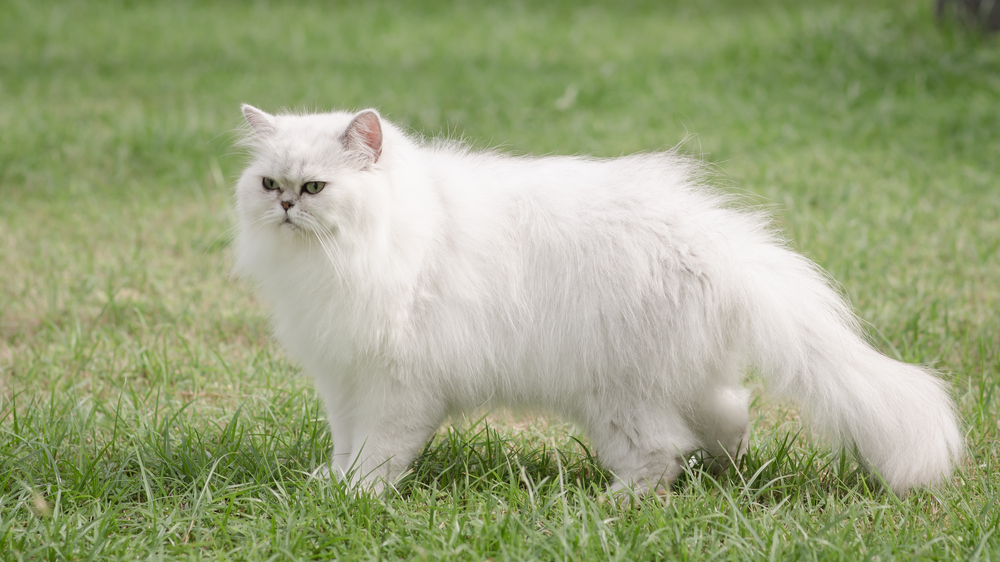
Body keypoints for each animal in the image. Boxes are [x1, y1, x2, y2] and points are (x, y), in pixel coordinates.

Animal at [232, 105, 960, 494]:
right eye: (269, 183)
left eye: (317, 188)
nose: (287, 205)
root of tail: (718, 244)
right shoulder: (344, 381)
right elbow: (344, 446)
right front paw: (331, 487)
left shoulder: (395, 388)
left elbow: (377, 454)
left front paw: (360, 496)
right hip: (680, 379)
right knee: (731, 415)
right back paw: (721, 470)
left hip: (616, 396)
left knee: (661, 452)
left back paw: (617, 503)